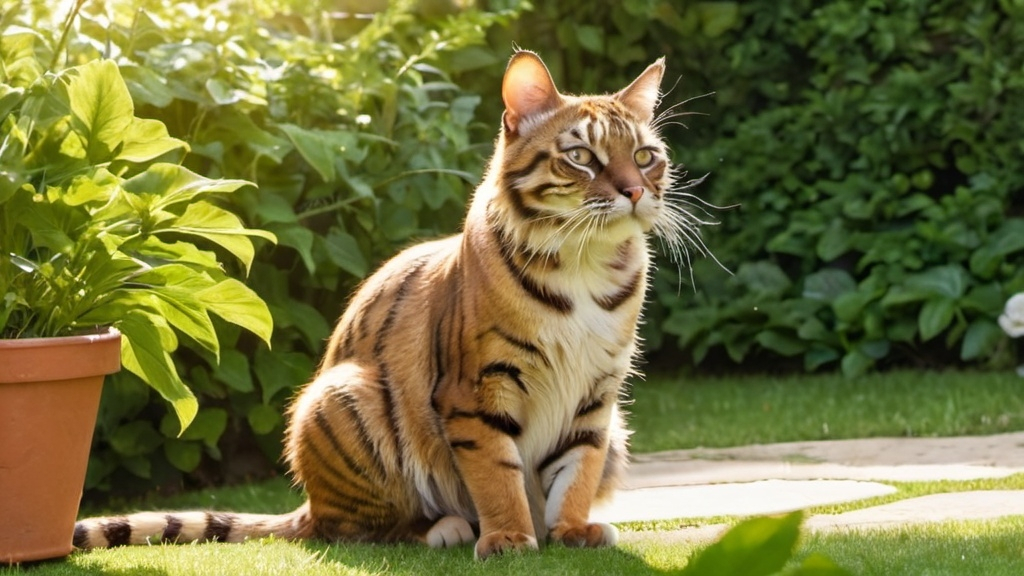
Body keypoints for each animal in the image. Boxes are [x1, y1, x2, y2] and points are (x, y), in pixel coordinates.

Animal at [72, 49, 696, 557]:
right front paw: (510, 538)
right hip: (343, 396)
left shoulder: (597, 394)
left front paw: (569, 531)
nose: (634, 191)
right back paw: (445, 528)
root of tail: (307, 502)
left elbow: (578, 468)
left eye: (645, 156)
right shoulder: (477, 388)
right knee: (346, 527)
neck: (585, 261)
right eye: (582, 157)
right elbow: (497, 472)